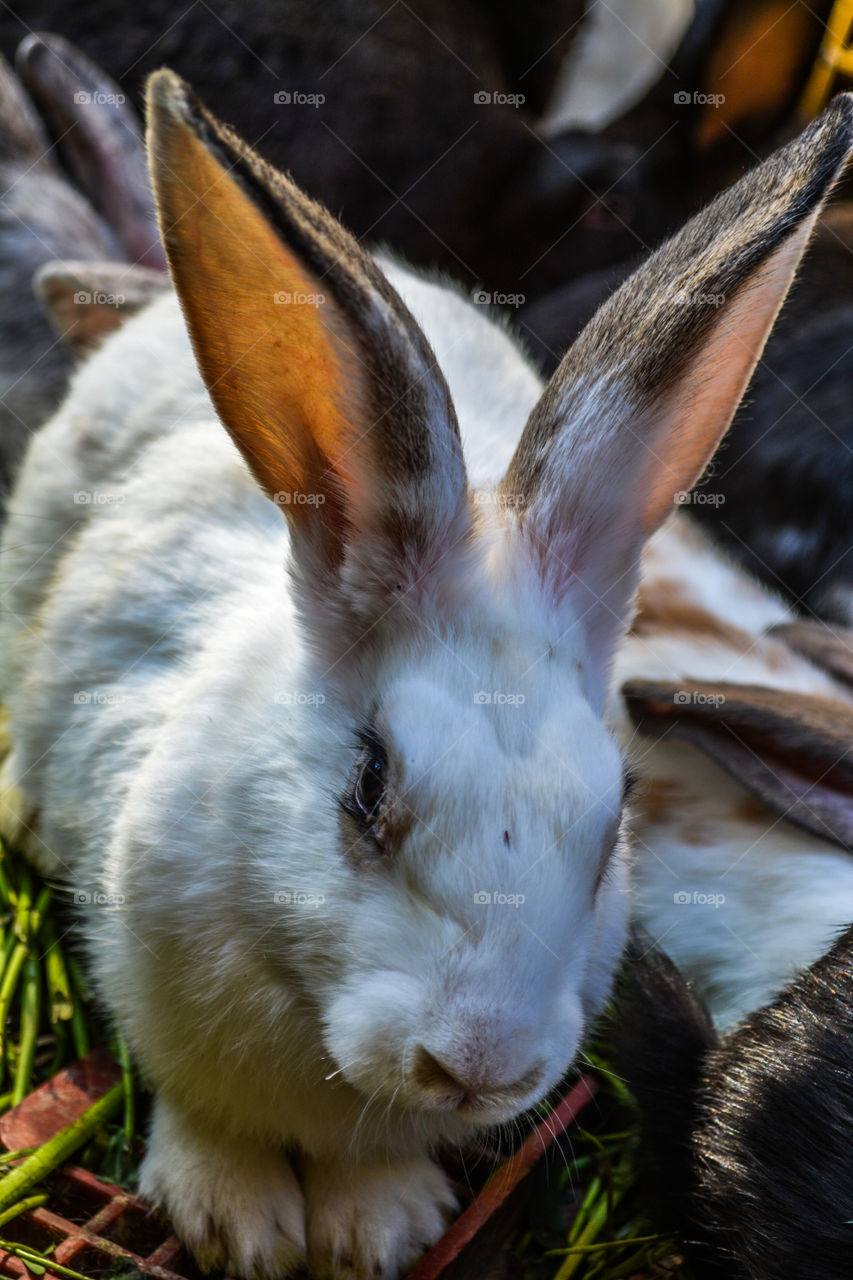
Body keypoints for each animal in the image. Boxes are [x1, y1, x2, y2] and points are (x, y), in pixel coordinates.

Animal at [0, 68, 850, 1280]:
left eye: (613, 823)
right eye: (368, 789)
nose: (480, 1065)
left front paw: (377, 1230)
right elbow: (199, 1111)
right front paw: (238, 1223)